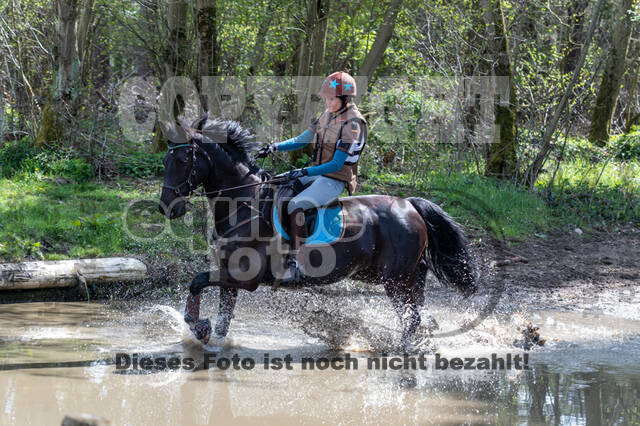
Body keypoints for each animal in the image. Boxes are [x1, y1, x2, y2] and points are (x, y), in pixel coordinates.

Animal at [155, 115, 476, 352]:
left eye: (182, 161)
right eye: (165, 161)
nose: (167, 207)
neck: (243, 204)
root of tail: (409, 204)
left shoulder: (246, 278)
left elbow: (197, 282)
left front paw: (198, 326)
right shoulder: (229, 274)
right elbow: (222, 316)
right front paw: (210, 336)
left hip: (395, 281)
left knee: (410, 317)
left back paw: (400, 349)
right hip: (397, 276)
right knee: (416, 308)